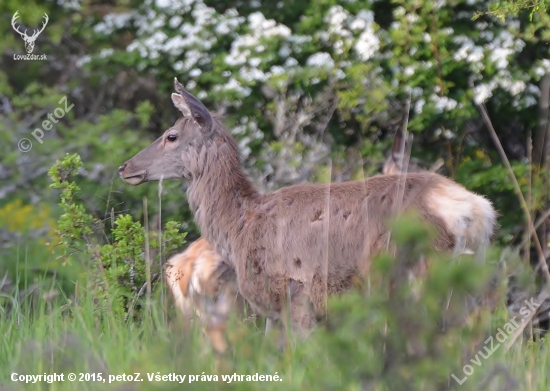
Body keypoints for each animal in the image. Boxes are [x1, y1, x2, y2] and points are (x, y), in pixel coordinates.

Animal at [118, 79, 498, 336]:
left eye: (171, 136)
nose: (125, 167)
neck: (240, 226)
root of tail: (476, 213)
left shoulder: (292, 294)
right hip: (468, 284)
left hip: (412, 275)